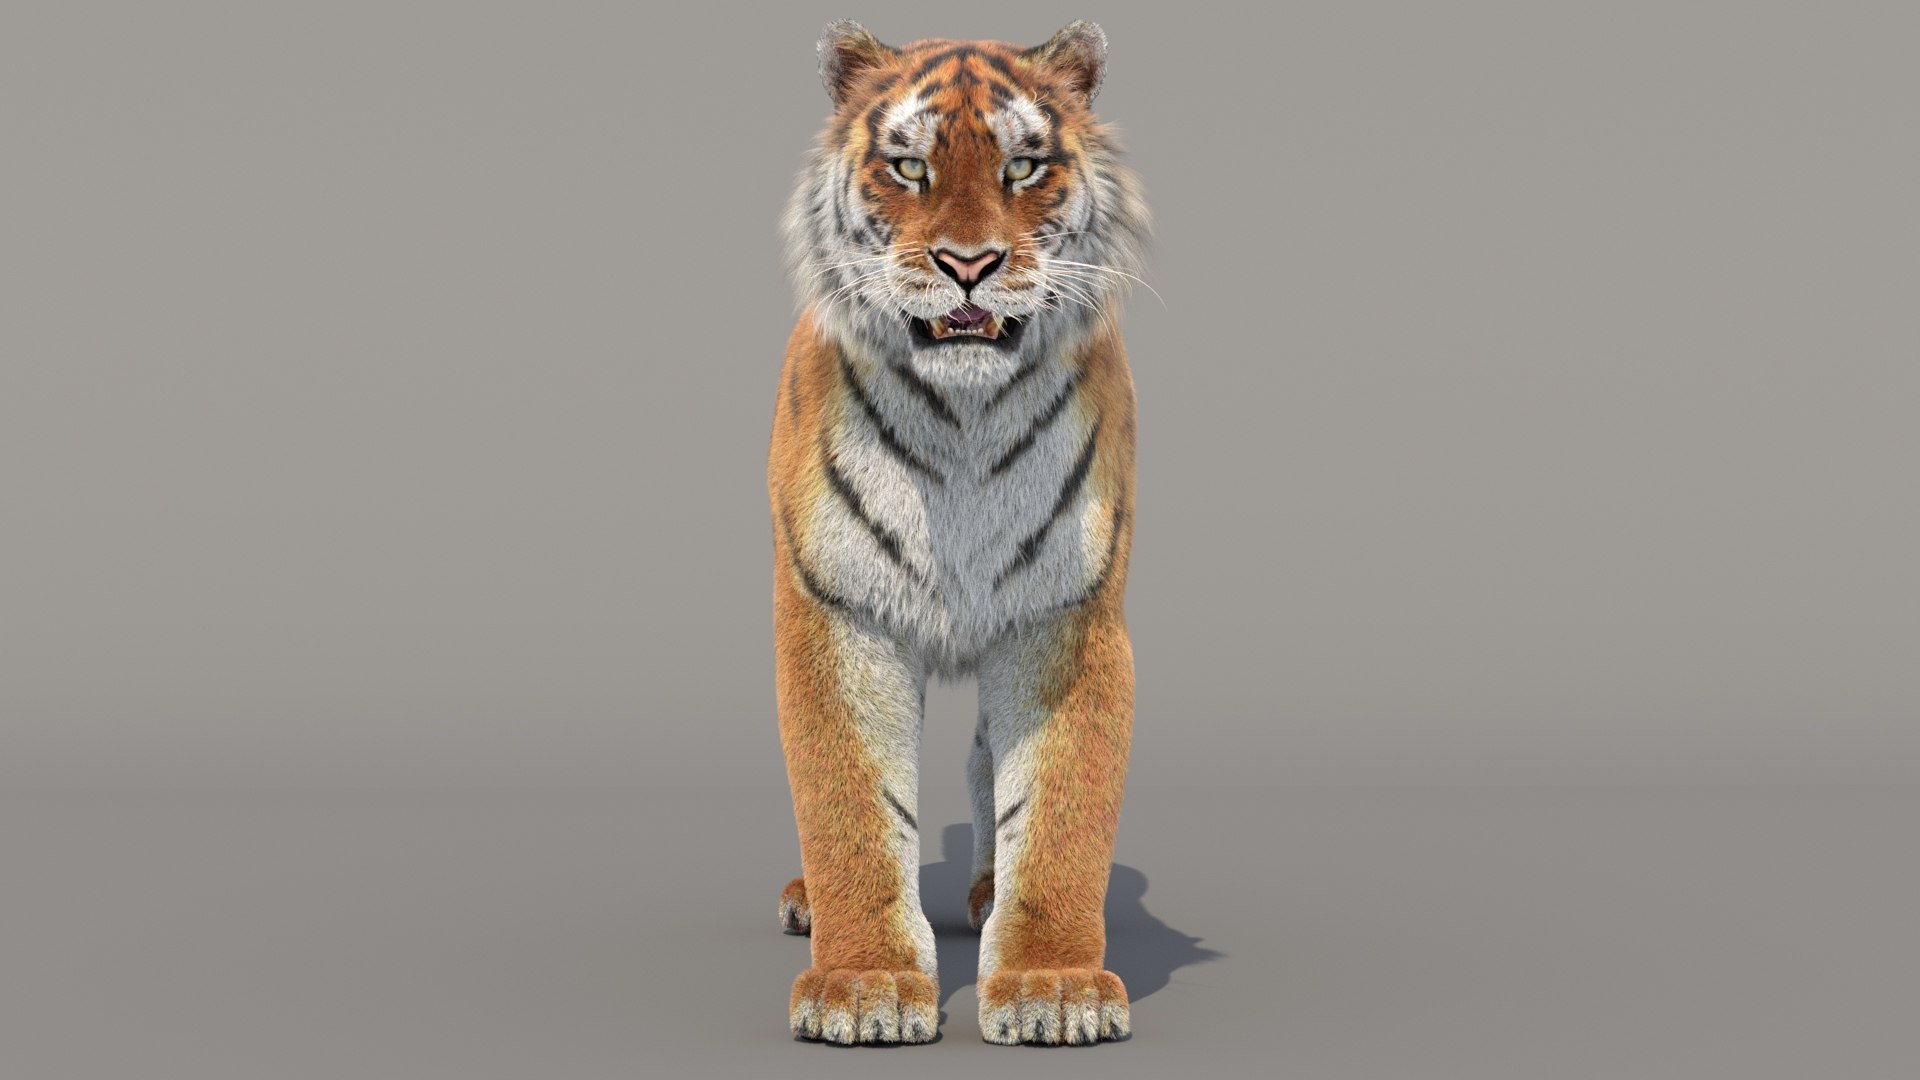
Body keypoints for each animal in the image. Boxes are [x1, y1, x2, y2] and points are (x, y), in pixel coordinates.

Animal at [767, 20, 1150, 1046]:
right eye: (909, 165)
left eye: (1023, 167)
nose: (969, 264)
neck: (963, 425)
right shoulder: (837, 612)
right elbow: (851, 806)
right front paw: (862, 986)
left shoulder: (1067, 619)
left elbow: (1055, 812)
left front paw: (1052, 984)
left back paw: (984, 894)